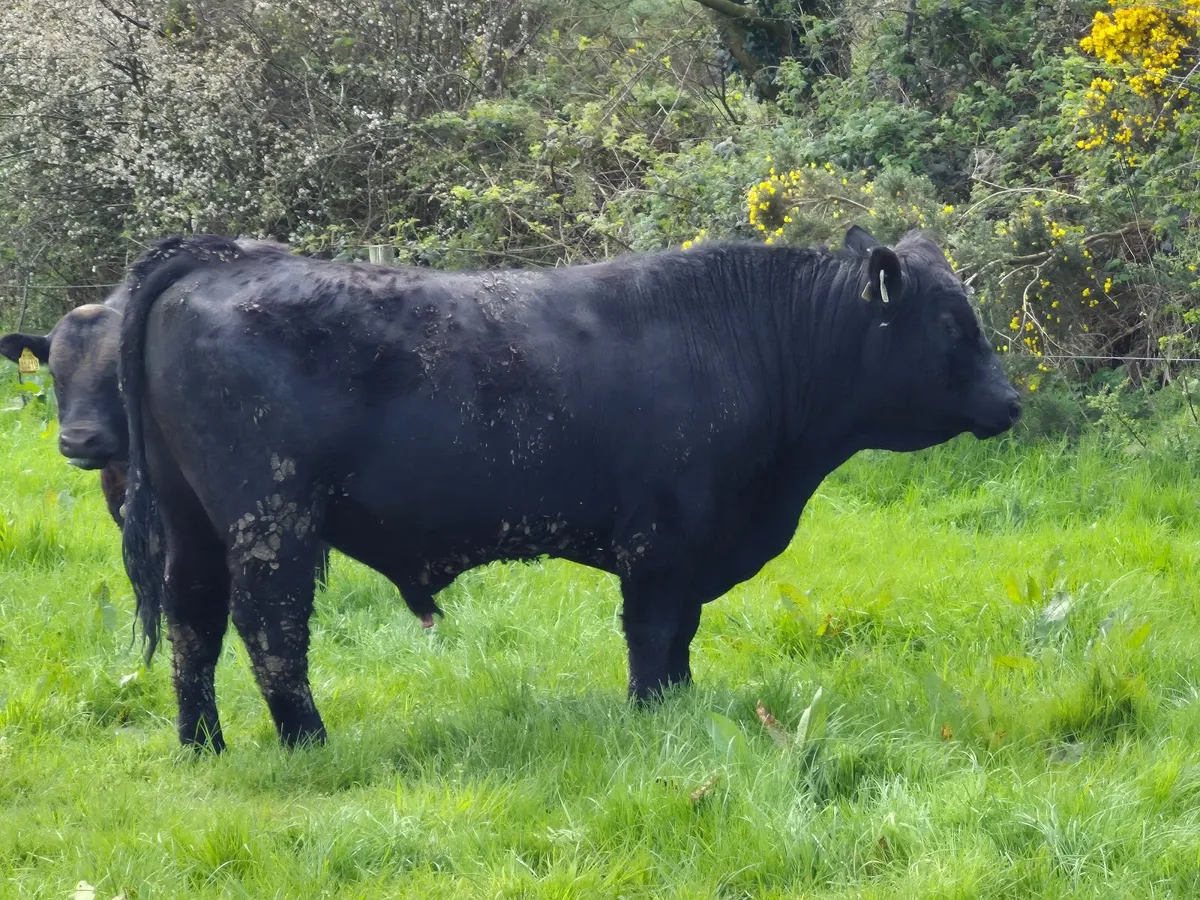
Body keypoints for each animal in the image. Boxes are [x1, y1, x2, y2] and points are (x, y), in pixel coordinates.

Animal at [118, 226, 1020, 752]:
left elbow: (680, 639)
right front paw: (654, 715)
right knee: (268, 626)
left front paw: (679, 705)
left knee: (193, 621)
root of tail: (221, 260)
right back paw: (308, 740)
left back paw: (203, 743)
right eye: (952, 323)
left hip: (195, 523)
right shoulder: (663, 541)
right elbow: (654, 636)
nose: (1011, 401)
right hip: (270, 518)